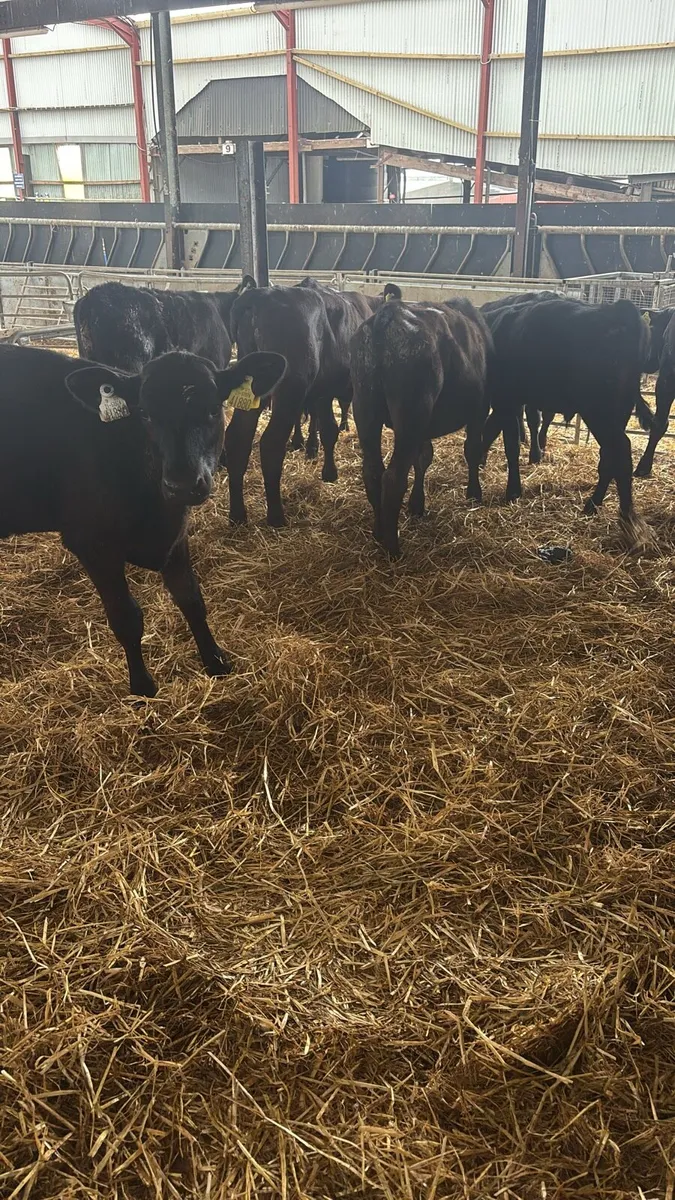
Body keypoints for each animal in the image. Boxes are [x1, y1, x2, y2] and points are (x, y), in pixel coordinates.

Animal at [0, 343, 285, 696]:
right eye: (145, 414)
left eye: (212, 409)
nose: (182, 485)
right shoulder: (92, 544)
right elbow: (126, 617)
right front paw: (142, 687)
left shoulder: (176, 533)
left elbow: (191, 598)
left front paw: (216, 661)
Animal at [226, 279, 401, 528]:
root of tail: (258, 296)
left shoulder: (322, 392)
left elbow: (328, 430)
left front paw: (329, 472)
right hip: (291, 387)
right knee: (271, 442)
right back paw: (276, 516)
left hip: (254, 387)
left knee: (237, 437)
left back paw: (237, 514)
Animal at [350, 297, 491, 559]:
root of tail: (387, 315)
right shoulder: (480, 409)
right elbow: (471, 450)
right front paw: (474, 493)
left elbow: (423, 457)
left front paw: (417, 504)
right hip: (412, 413)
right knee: (393, 478)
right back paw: (393, 547)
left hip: (365, 408)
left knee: (373, 473)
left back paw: (379, 532)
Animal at [481, 296, 652, 547]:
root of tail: (619, 310)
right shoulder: (506, 402)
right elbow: (491, 430)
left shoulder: (507, 399)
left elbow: (509, 444)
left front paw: (512, 490)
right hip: (617, 412)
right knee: (609, 456)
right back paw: (593, 504)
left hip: (599, 411)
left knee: (620, 451)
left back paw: (627, 517)